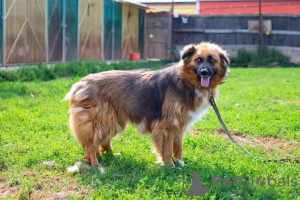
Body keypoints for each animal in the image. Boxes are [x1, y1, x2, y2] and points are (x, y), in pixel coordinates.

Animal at [65, 42, 230, 167]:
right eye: (198, 60)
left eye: (212, 60)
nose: (204, 73)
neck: (186, 81)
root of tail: (80, 84)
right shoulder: (167, 125)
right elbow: (167, 149)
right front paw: (169, 166)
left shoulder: (179, 125)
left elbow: (178, 148)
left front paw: (181, 163)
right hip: (102, 121)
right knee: (90, 144)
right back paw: (96, 165)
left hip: (114, 121)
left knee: (102, 142)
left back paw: (111, 155)